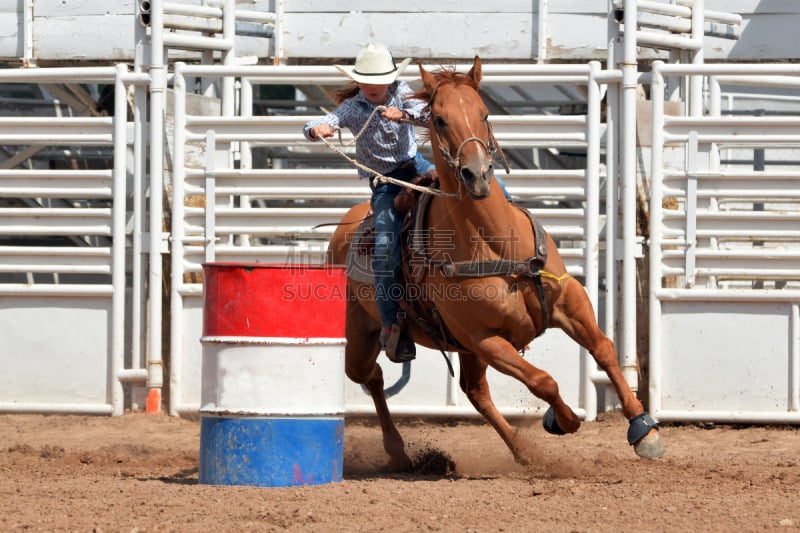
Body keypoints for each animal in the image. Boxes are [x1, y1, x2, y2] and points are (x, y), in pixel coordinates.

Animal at [324, 56, 664, 468]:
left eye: (484, 113)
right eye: (439, 119)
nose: (477, 174)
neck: (497, 244)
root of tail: (345, 228)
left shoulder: (569, 300)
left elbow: (603, 348)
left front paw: (643, 429)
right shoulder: (484, 339)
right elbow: (542, 380)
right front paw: (563, 419)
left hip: (463, 350)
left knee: (473, 391)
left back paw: (521, 450)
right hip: (365, 336)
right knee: (371, 375)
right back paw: (399, 450)